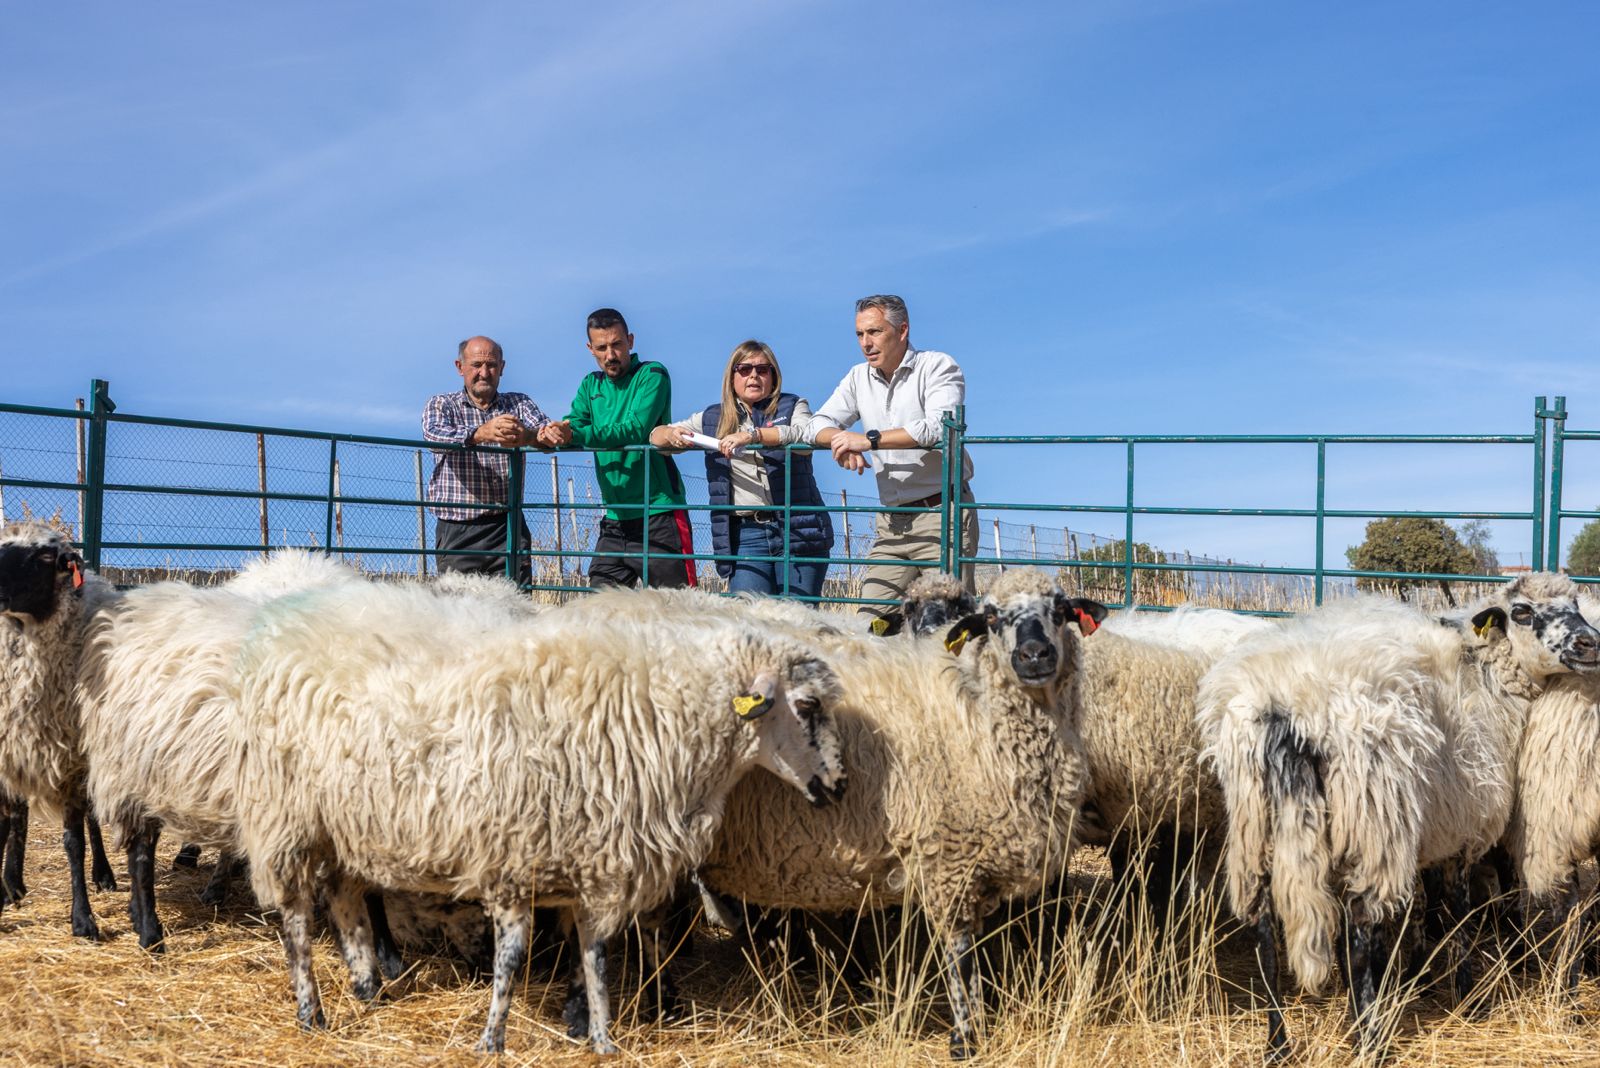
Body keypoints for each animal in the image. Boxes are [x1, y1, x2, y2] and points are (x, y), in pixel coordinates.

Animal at [0, 521, 121, 938]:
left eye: (44, 556)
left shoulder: (71, 763)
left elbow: (73, 842)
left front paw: (83, 919)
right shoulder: (8, 754)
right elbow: (3, 825)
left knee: (92, 820)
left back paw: (104, 875)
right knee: (18, 818)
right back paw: (13, 884)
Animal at [224, 579, 849, 1054]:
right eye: (808, 705)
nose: (840, 786)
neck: (661, 715)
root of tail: (283, 623)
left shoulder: (593, 855)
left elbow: (594, 954)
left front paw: (600, 1038)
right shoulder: (514, 854)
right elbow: (515, 954)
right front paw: (493, 1040)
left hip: (347, 824)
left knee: (347, 897)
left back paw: (367, 985)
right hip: (287, 820)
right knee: (296, 921)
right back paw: (312, 1011)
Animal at [1197, 574, 1600, 1060]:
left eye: (1576, 603)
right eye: (1522, 612)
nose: (1591, 642)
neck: (1484, 676)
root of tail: (1282, 706)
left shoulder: (1429, 828)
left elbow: (1421, 909)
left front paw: (1416, 977)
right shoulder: (1461, 824)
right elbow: (1458, 914)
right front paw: (1466, 997)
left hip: (1254, 818)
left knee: (1263, 927)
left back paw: (1278, 1043)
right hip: (1371, 817)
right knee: (1358, 927)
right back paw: (1369, 1039)